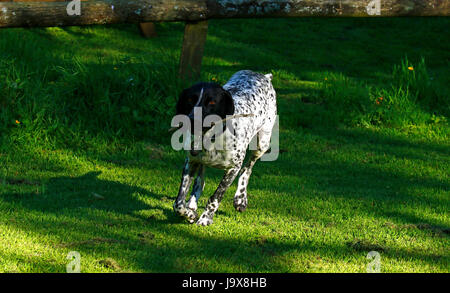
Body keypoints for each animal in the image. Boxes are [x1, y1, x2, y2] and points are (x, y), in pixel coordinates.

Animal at [172, 69, 278, 225]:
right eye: (190, 100)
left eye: (212, 102)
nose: (192, 121)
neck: (211, 137)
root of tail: (263, 76)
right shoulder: (190, 162)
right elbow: (178, 203)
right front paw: (190, 214)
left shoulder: (234, 168)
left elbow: (216, 196)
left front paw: (206, 218)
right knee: (199, 182)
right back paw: (192, 204)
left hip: (262, 143)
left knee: (247, 169)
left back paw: (240, 198)